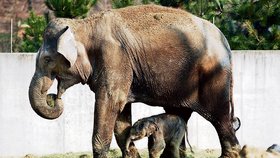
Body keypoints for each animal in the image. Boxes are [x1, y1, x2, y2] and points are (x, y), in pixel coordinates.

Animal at [29, 4, 241, 157]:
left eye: (47, 60)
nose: (53, 97)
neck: (84, 25)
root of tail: (226, 44)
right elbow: (121, 115)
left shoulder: (114, 57)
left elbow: (111, 102)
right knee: (179, 115)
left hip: (214, 77)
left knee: (220, 118)